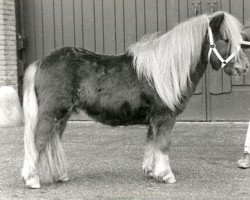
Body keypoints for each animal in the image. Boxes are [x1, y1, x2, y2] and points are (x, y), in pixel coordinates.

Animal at [22, 11, 250, 188]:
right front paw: (166, 175)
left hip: (62, 117)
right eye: (225, 39)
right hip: (51, 114)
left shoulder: (154, 120)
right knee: (38, 141)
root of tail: (41, 62)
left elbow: (152, 144)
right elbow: (163, 144)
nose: (244, 67)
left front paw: (151, 171)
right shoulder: (165, 117)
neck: (167, 70)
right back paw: (31, 179)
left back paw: (59, 175)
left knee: (51, 142)